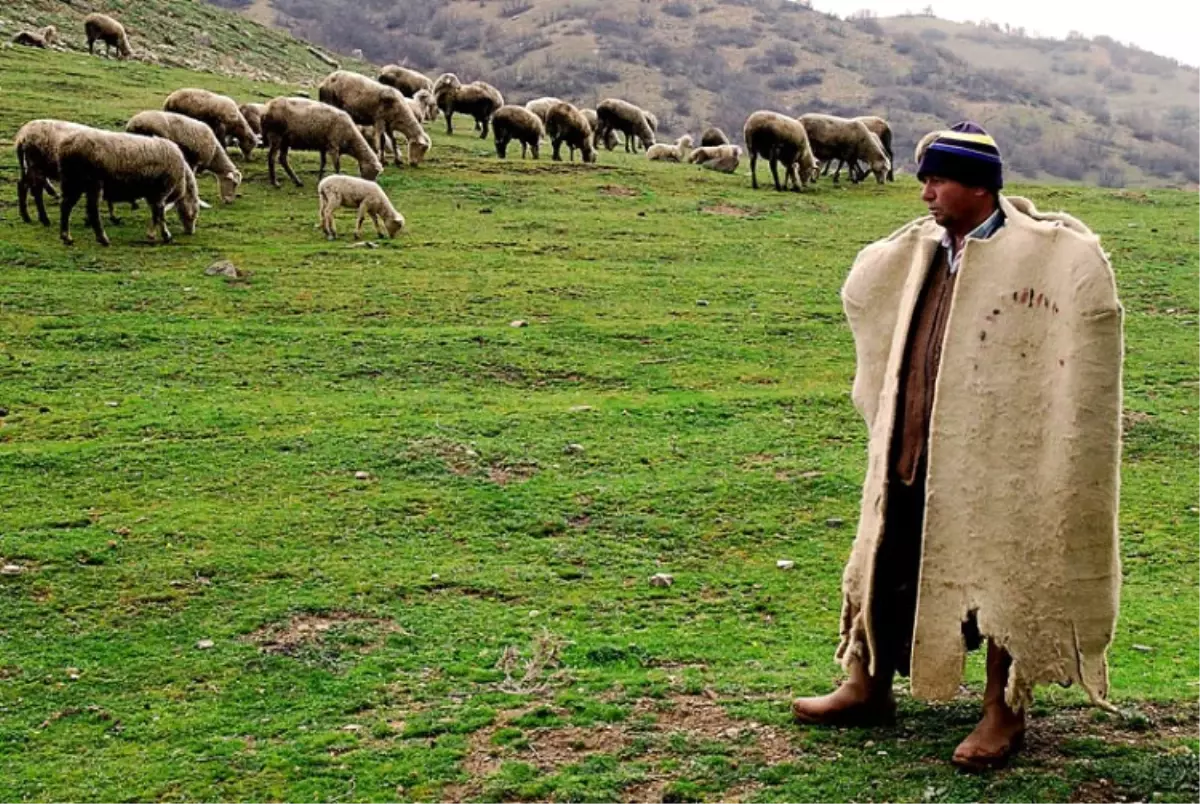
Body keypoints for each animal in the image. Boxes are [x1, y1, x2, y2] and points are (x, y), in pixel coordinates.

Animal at [56, 129, 199, 247]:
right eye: (194, 213)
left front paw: (152, 234)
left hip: (72, 181)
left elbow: (155, 214)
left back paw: (66, 237)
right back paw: (103, 238)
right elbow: (160, 214)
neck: (183, 178)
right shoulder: (162, 191)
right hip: (93, 182)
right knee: (92, 210)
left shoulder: (153, 194)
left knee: (66, 206)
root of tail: (68, 145)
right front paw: (165, 235)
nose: (191, 232)